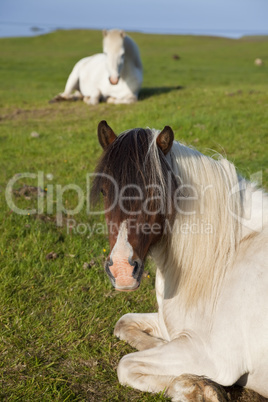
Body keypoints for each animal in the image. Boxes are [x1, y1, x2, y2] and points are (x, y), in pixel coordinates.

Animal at [93, 121, 268, 402]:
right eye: (104, 190)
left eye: (156, 192)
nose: (122, 271)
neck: (226, 257)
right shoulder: (174, 331)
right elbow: (124, 324)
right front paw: (196, 383)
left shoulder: (211, 356)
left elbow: (126, 365)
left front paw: (198, 389)